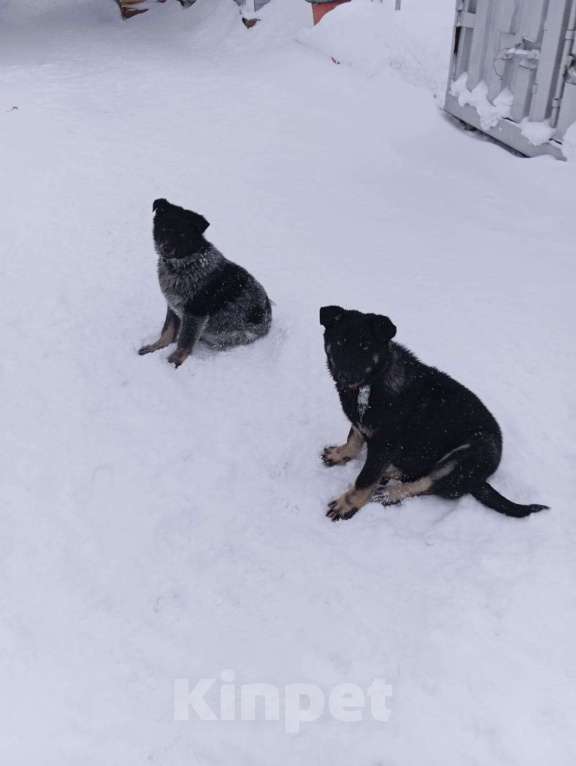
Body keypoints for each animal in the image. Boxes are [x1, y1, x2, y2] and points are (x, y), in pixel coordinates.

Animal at [138, 200, 272, 370]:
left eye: (182, 234)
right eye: (164, 229)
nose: (165, 248)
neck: (185, 265)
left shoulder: (195, 312)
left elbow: (184, 341)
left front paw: (174, 361)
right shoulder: (173, 305)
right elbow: (167, 331)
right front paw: (156, 347)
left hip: (228, 336)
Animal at [320, 306, 548, 520]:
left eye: (365, 346)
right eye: (339, 342)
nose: (345, 375)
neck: (371, 384)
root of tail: (480, 479)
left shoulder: (384, 443)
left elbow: (365, 478)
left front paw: (347, 504)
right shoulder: (363, 426)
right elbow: (354, 438)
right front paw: (341, 454)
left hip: (470, 452)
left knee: (426, 483)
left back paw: (390, 492)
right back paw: (392, 472)